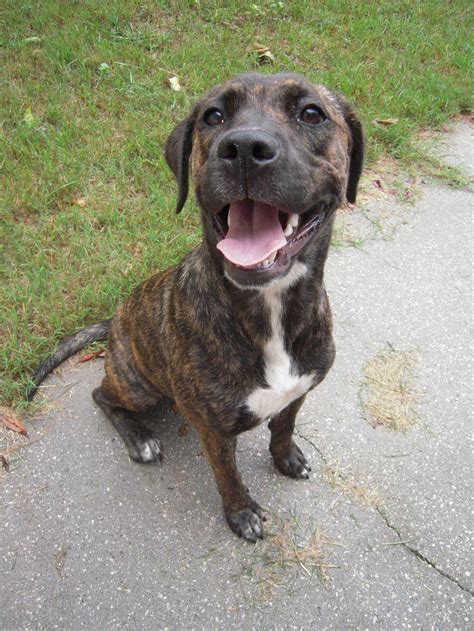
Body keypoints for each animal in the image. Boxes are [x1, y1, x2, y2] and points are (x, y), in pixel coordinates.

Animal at [28, 71, 362, 540]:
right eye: (214, 116)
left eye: (312, 113)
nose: (244, 148)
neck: (269, 310)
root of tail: (116, 318)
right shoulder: (214, 430)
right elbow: (228, 475)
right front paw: (241, 513)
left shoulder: (298, 392)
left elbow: (283, 427)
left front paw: (287, 457)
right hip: (138, 386)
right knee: (102, 396)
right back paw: (140, 438)